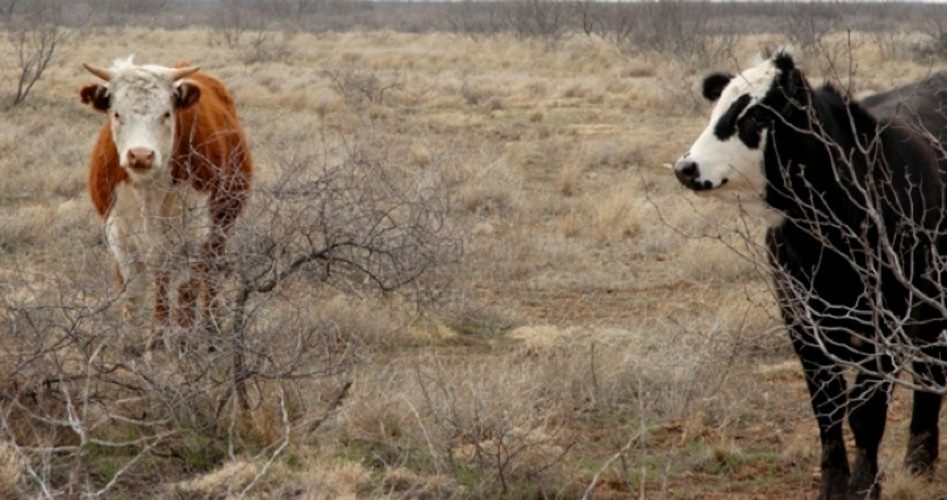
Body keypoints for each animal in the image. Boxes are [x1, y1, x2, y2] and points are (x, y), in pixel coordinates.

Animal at [79, 56, 252, 350]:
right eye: (117, 114)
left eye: (166, 114)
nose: (140, 155)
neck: (149, 190)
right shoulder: (120, 238)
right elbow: (134, 295)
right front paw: (133, 348)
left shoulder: (194, 238)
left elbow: (184, 294)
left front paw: (173, 346)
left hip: (219, 230)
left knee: (208, 280)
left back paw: (212, 332)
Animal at [672, 50, 947, 499]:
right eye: (717, 110)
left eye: (754, 117)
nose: (686, 167)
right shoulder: (800, 319)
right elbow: (827, 407)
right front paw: (833, 485)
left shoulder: (888, 320)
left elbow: (865, 413)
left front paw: (864, 486)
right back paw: (919, 461)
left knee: (931, 366)